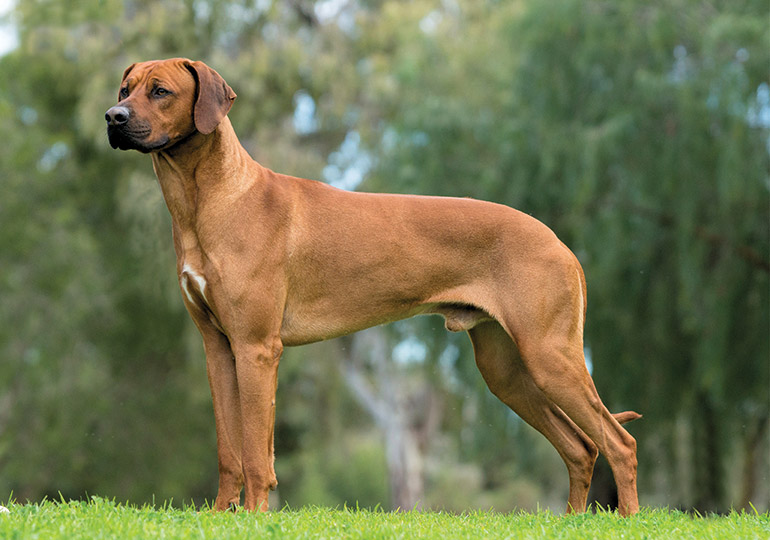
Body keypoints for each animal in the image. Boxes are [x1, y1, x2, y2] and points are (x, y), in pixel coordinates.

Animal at [105, 58, 640, 516]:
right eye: (125, 89)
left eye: (160, 91)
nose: (113, 117)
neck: (210, 199)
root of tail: (559, 243)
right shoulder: (218, 348)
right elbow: (228, 450)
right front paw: (221, 516)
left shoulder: (256, 348)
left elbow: (257, 453)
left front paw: (255, 517)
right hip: (507, 370)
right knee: (581, 447)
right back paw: (571, 520)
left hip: (549, 354)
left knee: (619, 442)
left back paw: (628, 518)